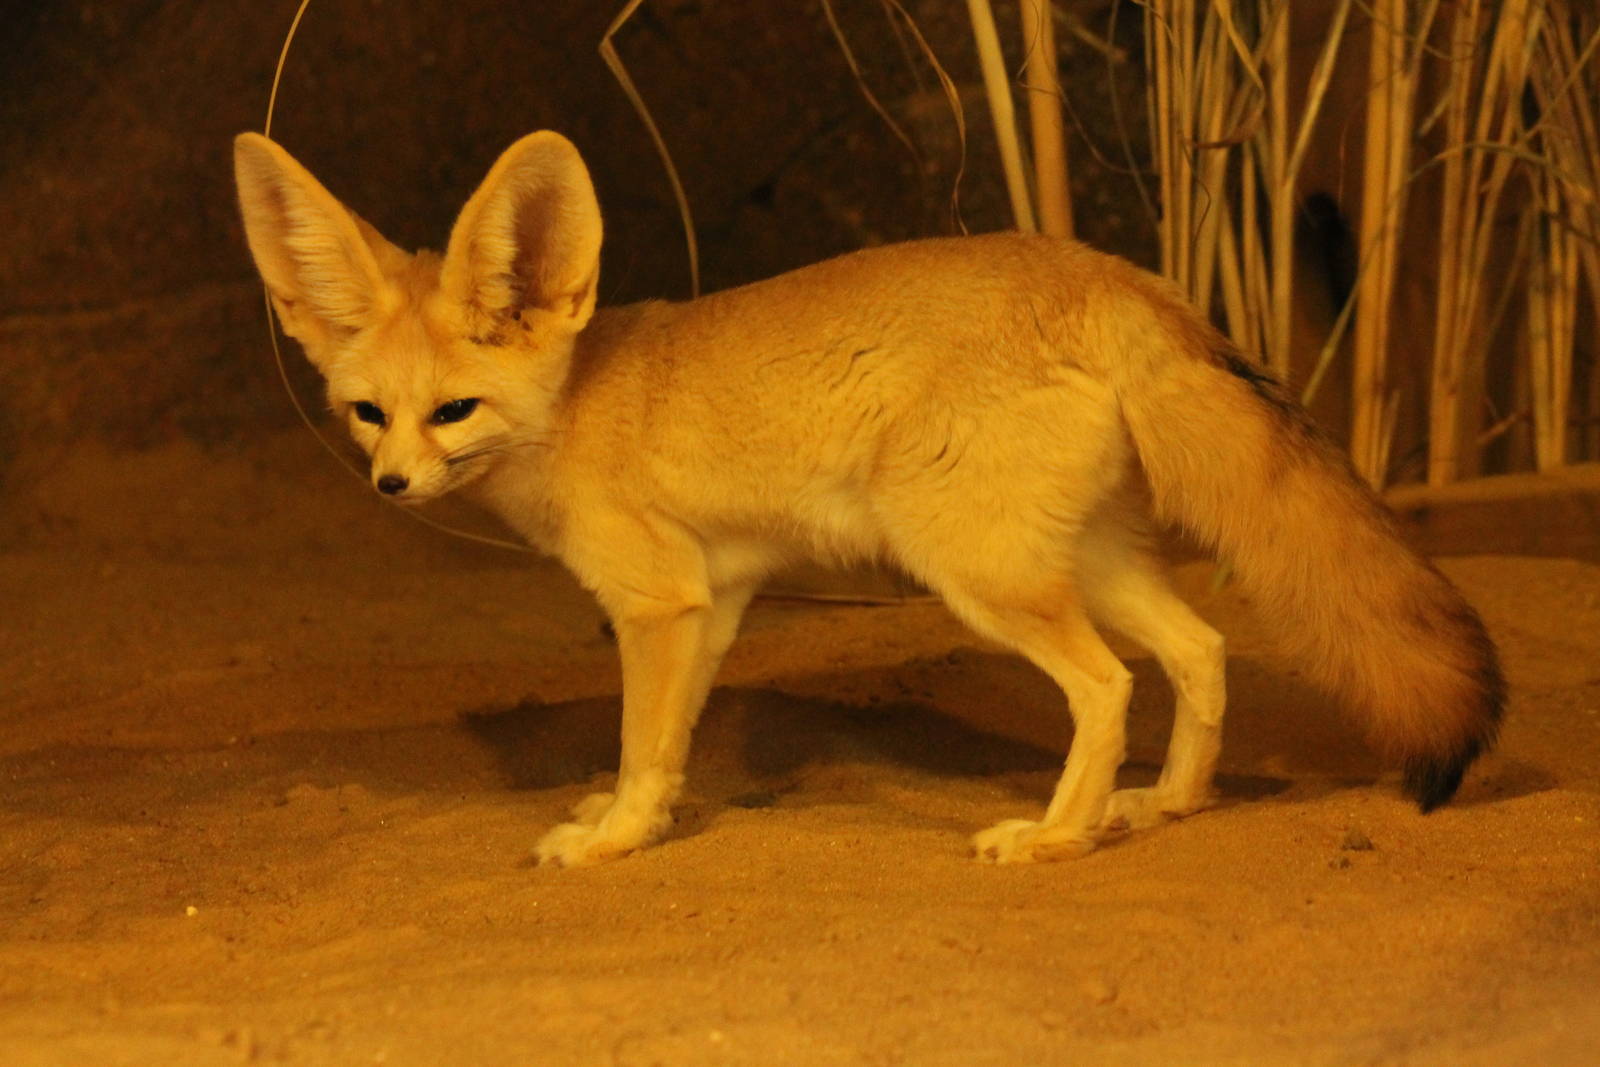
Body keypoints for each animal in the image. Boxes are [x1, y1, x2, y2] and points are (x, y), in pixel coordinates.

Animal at [232, 129, 1503, 868]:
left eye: (452, 411)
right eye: (368, 413)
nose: (392, 482)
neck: (580, 400)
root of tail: (1108, 272)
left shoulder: (658, 602)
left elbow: (640, 743)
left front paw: (614, 838)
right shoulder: (717, 602)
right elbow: (669, 744)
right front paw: (643, 822)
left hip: (980, 574)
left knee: (1107, 684)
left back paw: (1056, 832)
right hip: (1079, 560)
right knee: (1199, 648)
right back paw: (1163, 805)